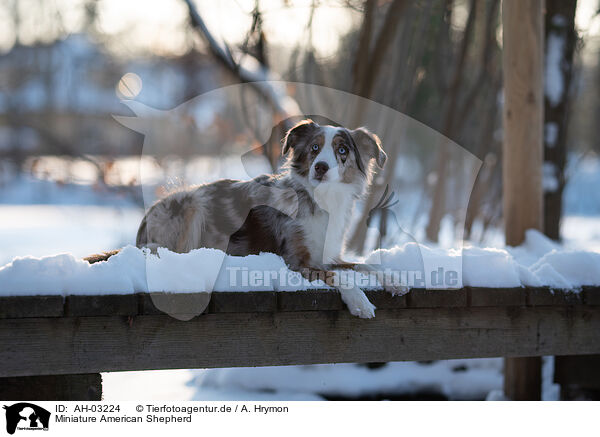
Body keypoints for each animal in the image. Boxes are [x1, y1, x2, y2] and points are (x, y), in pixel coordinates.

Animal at [91, 119, 386, 316]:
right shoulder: (295, 260)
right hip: (191, 203)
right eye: (315, 148)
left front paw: (393, 280)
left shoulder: (329, 255)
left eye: (343, 151)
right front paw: (359, 301)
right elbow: (340, 276)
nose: (321, 168)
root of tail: (143, 224)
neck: (322, 200)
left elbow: (364, 265)